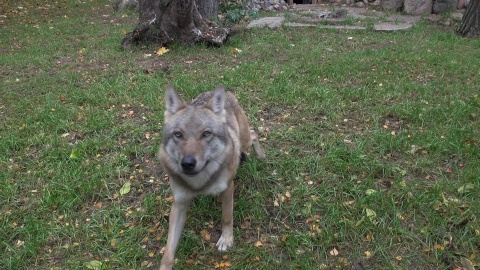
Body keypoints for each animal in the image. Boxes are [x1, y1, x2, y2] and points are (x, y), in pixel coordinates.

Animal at [158, 85, 266, 270]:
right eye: (178, 134)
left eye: (206, 134)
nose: (187, 163)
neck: (200, 183)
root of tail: (225, 91)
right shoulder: (179, 203)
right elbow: (168, 252)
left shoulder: (228, 188)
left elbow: (226, 217)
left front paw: (226, 239)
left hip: (244, 139)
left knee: (254, 134)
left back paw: (260, 156)